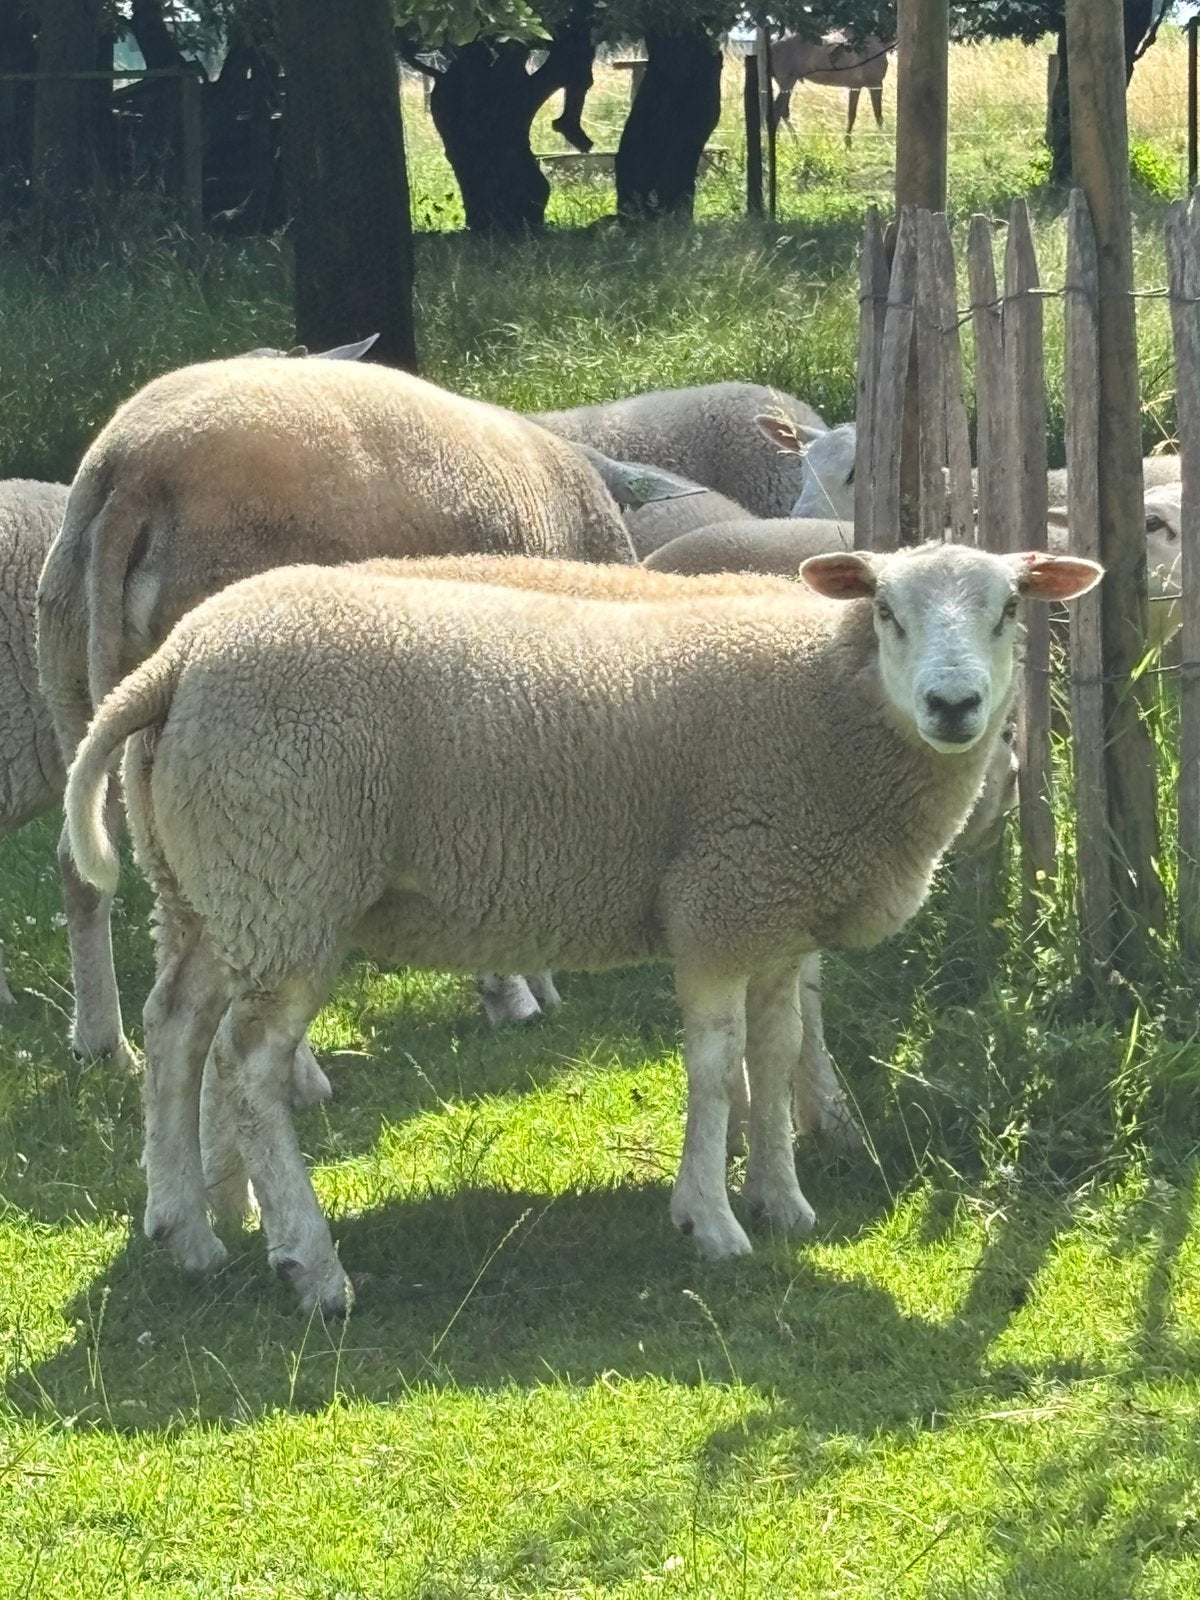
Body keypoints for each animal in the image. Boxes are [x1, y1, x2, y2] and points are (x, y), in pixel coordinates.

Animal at [65, 543, 1101, 1313]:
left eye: (1010, 608)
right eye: (887, 610)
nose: (954, 706)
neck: (825, 700)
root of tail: (173, 662)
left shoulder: (775, 916)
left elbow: (776, 1053)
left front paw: (783, 1200)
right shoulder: (718, 901)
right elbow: (717, 1065)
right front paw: (711, 1219)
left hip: (211, 891)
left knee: (175, 1030)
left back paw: (188, 1229)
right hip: (287, 879)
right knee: (246, 1065)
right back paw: (310, 1266)